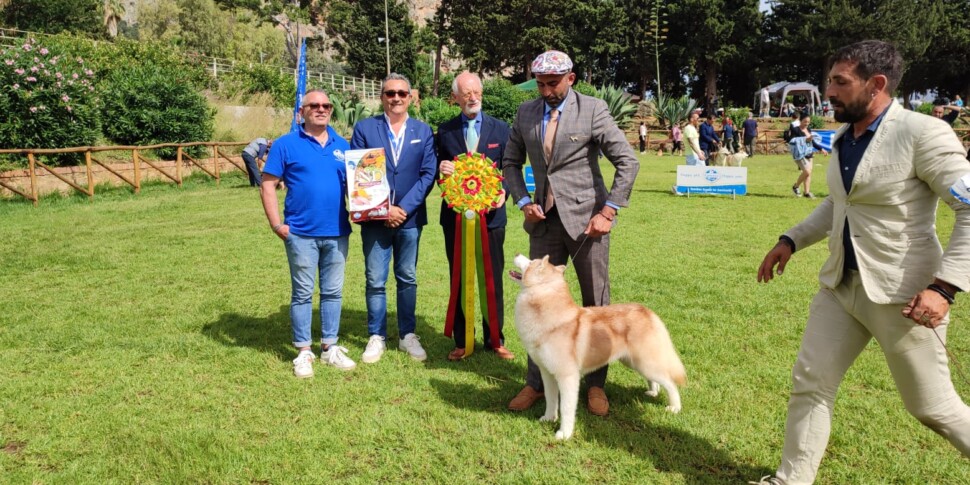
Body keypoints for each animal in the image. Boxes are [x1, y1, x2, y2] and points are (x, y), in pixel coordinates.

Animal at [506, 253, 688, 438]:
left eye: (531, 262)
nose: (516, 254)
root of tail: (647, 311)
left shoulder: (567, 376)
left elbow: (566, 408)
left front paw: (564, 434)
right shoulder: (547, 372)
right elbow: (551, 399)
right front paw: (549, 418)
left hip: (645, 363)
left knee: (670, 383)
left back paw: (674, 407)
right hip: (634, 361)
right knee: (655, 379)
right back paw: (653, 392)